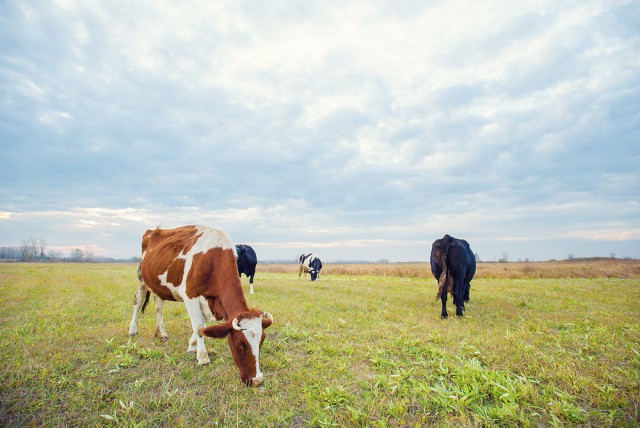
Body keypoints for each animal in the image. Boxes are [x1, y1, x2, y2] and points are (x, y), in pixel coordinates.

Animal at [127, 226, 272, 386]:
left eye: (262, 340)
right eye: (240, 343)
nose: (257, 380)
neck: (212, 259)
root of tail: (153, 230)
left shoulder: (211, 302)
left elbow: (203, 326)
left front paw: (192, 346)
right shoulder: (190, 296)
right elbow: (198, 326)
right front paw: (202, 357)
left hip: (158, 284)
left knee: (159, 306)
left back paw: (161, 333)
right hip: (141, 277)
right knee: (138, 301)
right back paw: (133, 330)